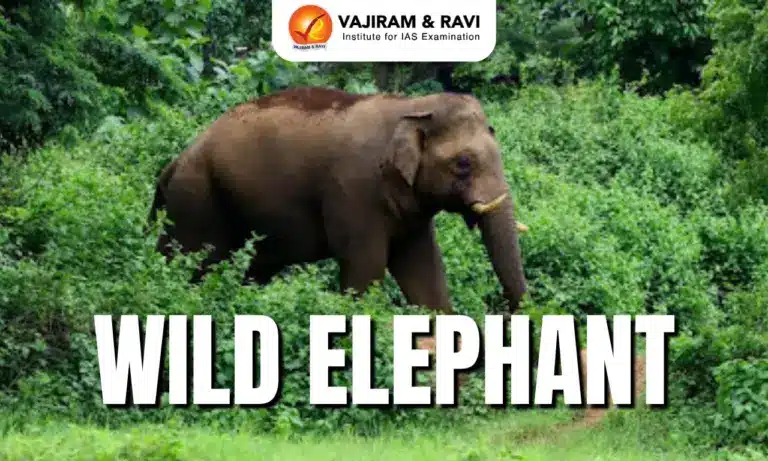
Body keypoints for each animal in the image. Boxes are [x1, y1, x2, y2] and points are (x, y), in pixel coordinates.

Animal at [148, 86, 528, 313]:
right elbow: (366, 267)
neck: (414, 105)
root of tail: (172, 165)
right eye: (463, 163)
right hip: (195, 202)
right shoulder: (354, 190)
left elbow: (425, 271)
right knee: (190, 264)